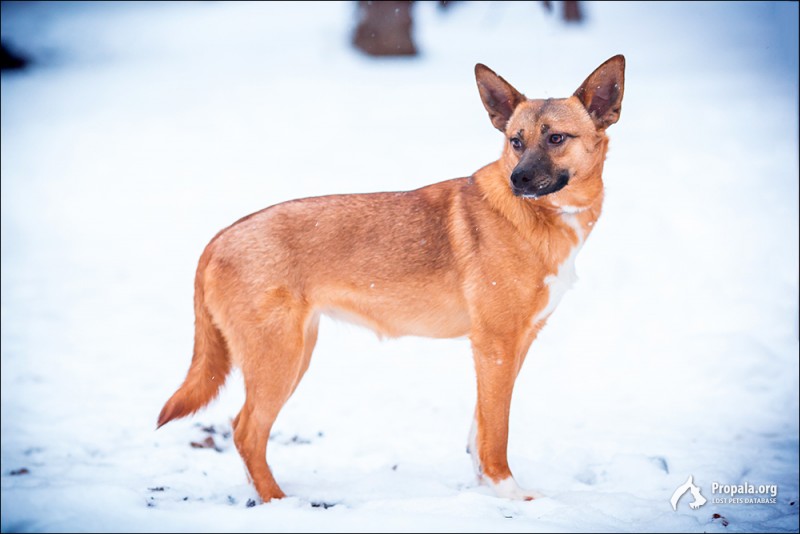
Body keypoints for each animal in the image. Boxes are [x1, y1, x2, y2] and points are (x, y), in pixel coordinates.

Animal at [158, 56, 624, 504]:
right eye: (516, 141)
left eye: (556, 138)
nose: (518, 180)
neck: (542, 216)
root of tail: (221, 237)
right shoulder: (496, 346)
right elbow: (496, 431)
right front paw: (507, 491)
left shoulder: (512, 345)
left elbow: (479, 426)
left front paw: (482, 487)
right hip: (279, 359)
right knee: (246, 432)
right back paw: (278, 502)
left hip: (297, 351)